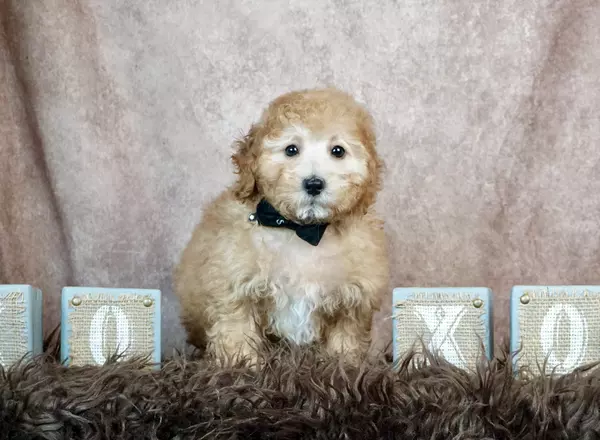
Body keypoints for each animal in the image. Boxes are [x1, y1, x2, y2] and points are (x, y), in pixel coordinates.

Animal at [173, 87, 390, 364]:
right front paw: (242, 365)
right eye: (291, 149)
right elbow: (237, 330)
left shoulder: (354, 297)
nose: (314, 184)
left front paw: (343, 365)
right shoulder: (234, 286)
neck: (300, 229)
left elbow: (345, 337)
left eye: (338, 151)